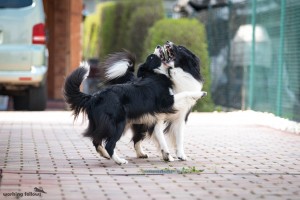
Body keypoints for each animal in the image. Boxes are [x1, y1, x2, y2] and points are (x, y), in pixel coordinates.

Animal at [63, 46, 204, 164]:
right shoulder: (166, 102)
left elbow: (174, 137)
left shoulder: (167, 117)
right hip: (118, 124)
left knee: (97, 139)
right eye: (152, 57)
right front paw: (201, 93)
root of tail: (93, 97)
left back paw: (109, 155)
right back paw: (119, 160)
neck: (157, 75)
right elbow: (184, 94)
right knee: (109, 144)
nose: (160, 45)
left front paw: (174, 155)